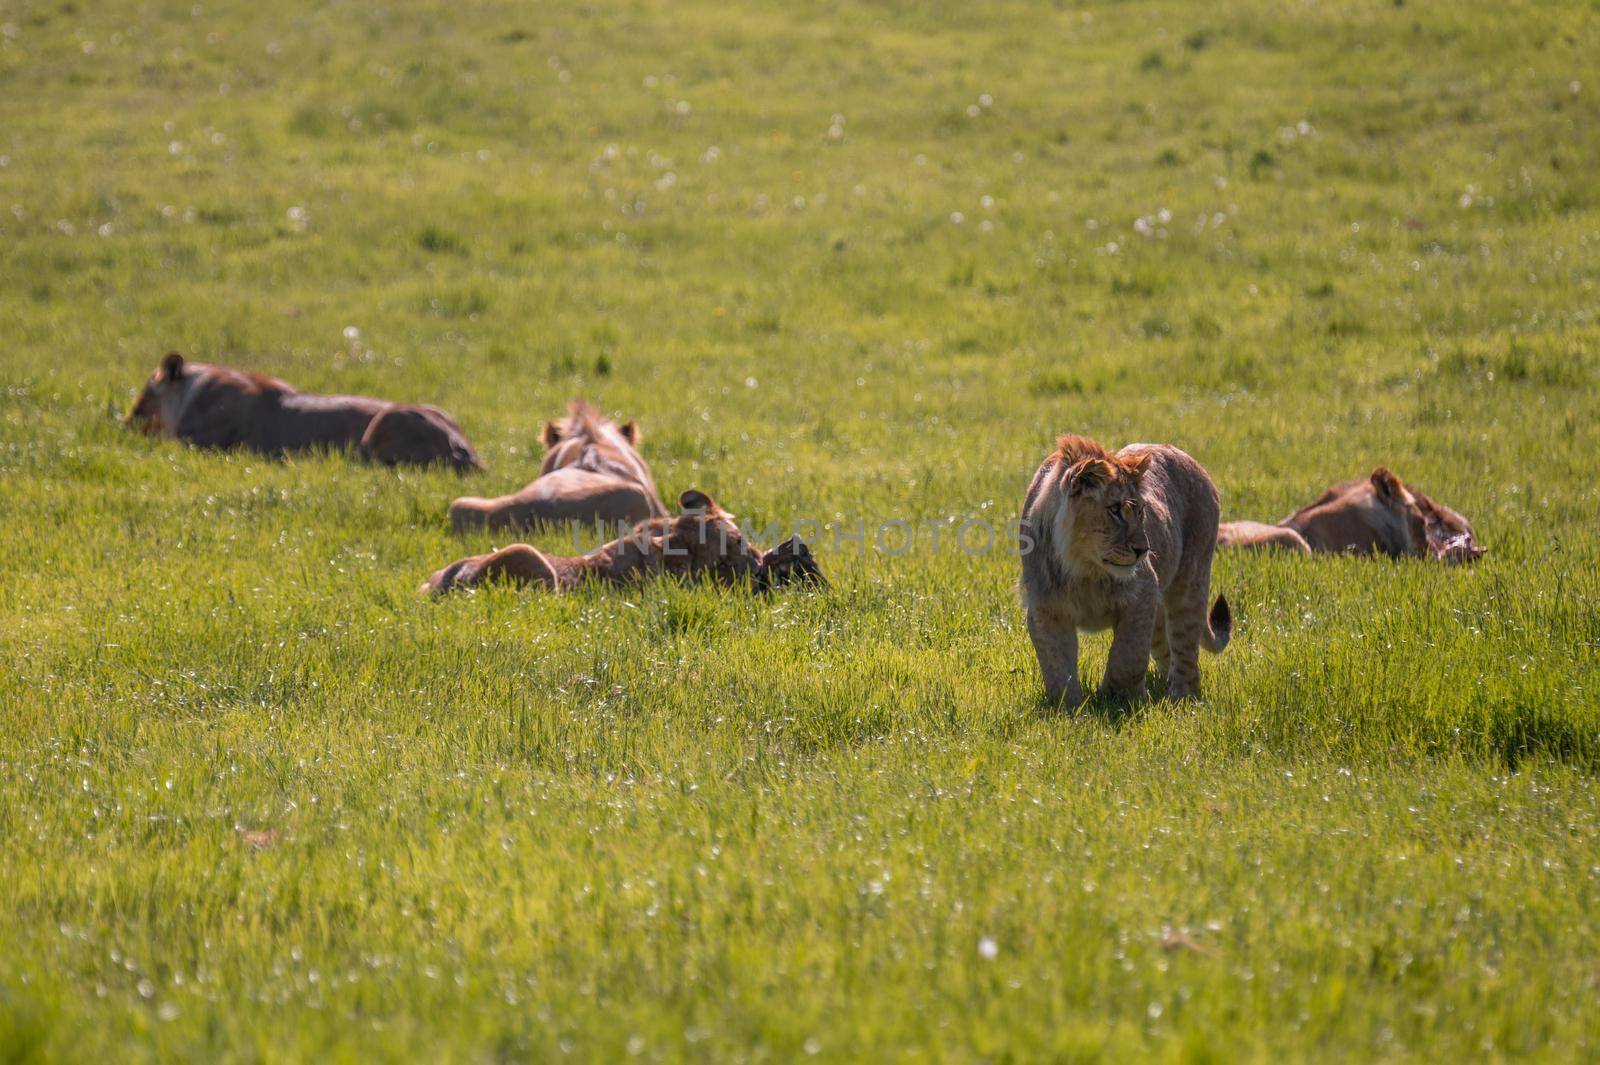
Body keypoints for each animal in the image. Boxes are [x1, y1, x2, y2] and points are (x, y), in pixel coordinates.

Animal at [1017, 431, 1228, 703]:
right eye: (1115, 510)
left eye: (1140, 511)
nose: (1144, 550)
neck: (1082, 568)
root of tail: (1187, 457)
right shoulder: (1046, 607)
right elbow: (1057, 666)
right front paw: (1069, 707)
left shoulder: (1143, 593)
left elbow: (1127, 656)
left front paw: (1116, 697)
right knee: (1165, 649)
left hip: (1190, 584)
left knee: (1186, 651)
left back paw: (1181, 698)